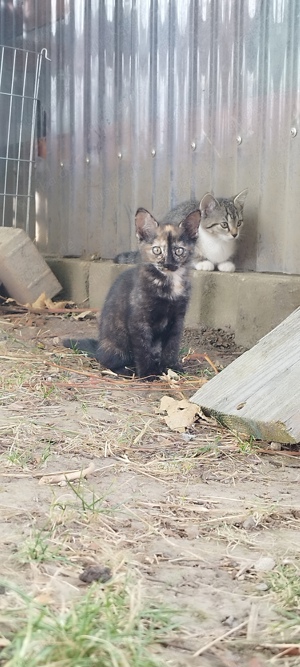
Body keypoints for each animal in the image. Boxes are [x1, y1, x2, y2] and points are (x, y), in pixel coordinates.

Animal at [63, 209, 200, 378]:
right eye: (157, 250)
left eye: (179, 250)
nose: (168, 264)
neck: (168, 282)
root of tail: (99, 347)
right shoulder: (139, 320)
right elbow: (142, 348)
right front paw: (148, 374)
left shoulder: (177, 319)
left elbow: (172, 346)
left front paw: (171, 368)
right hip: (116, 344)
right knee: (107, 362)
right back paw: (126, 369)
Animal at [115, 188, 248, 272]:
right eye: (224, 224)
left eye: (239, 223)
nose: (235, 234)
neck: (217, 240)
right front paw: (203, 262)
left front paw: (226, 263)